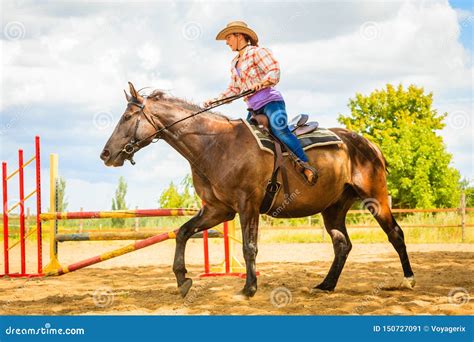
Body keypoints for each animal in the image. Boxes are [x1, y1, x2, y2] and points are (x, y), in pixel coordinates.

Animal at [100, 82, 414, 296]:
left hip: (375, 198)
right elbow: (183, 232)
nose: (106, 154)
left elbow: (249, 247)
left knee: (395, 234)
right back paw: (325, 285)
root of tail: (368, 144)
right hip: (333, 208)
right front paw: (182, 280)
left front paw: (249, 288)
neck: (216, 145)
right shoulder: (218, 210)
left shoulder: (247, 204)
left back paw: (408, 280)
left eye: (127, 117)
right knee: (342, 244)